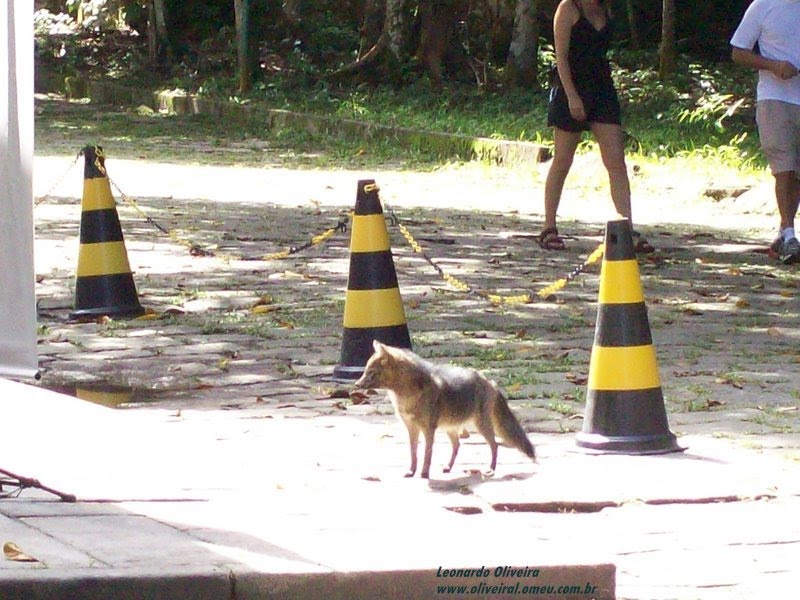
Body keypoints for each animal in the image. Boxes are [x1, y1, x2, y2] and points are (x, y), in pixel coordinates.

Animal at [356, 342, 536, 478]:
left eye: (371, 373)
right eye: (365, 371)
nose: (357, 385)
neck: (406, 396)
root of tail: (489, 381)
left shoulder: (428, 429)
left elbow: (427, 453)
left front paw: (424, 473)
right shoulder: (411, 428)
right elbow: (413, 453)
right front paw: (411, 471)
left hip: (481, 426)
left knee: (494, 446)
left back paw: (490, 470)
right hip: (451, 429)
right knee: (457, 445)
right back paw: (448, 467)